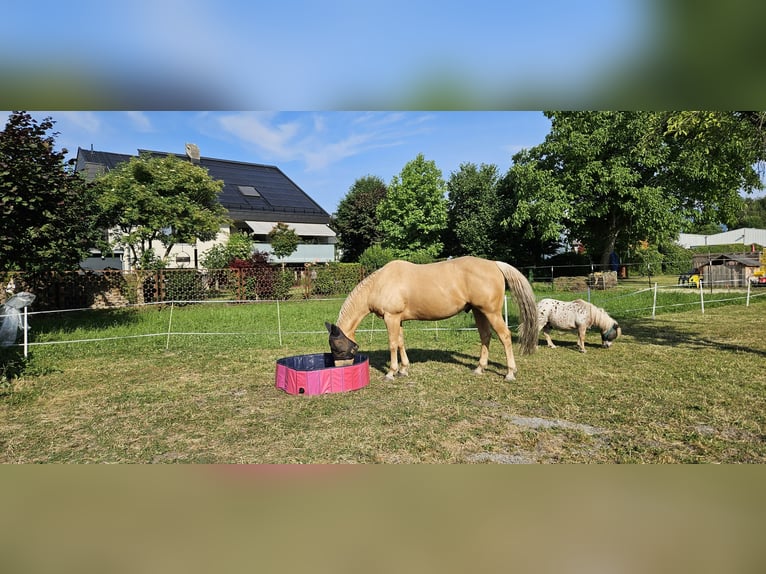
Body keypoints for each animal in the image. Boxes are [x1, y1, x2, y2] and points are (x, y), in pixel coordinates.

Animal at [328, 258, 536, 382]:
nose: (339, 369)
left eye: (336, 347)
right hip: (479, 312)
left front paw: (391, 372)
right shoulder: (398, 319)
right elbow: (401, 343)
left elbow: (393, 344)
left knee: (505, 336)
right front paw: (404, 369)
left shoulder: (391, 317)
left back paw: (510, 373)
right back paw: (479, 368)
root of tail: (494, 264)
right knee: (485, 336)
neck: (380, 283)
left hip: (491, 312)